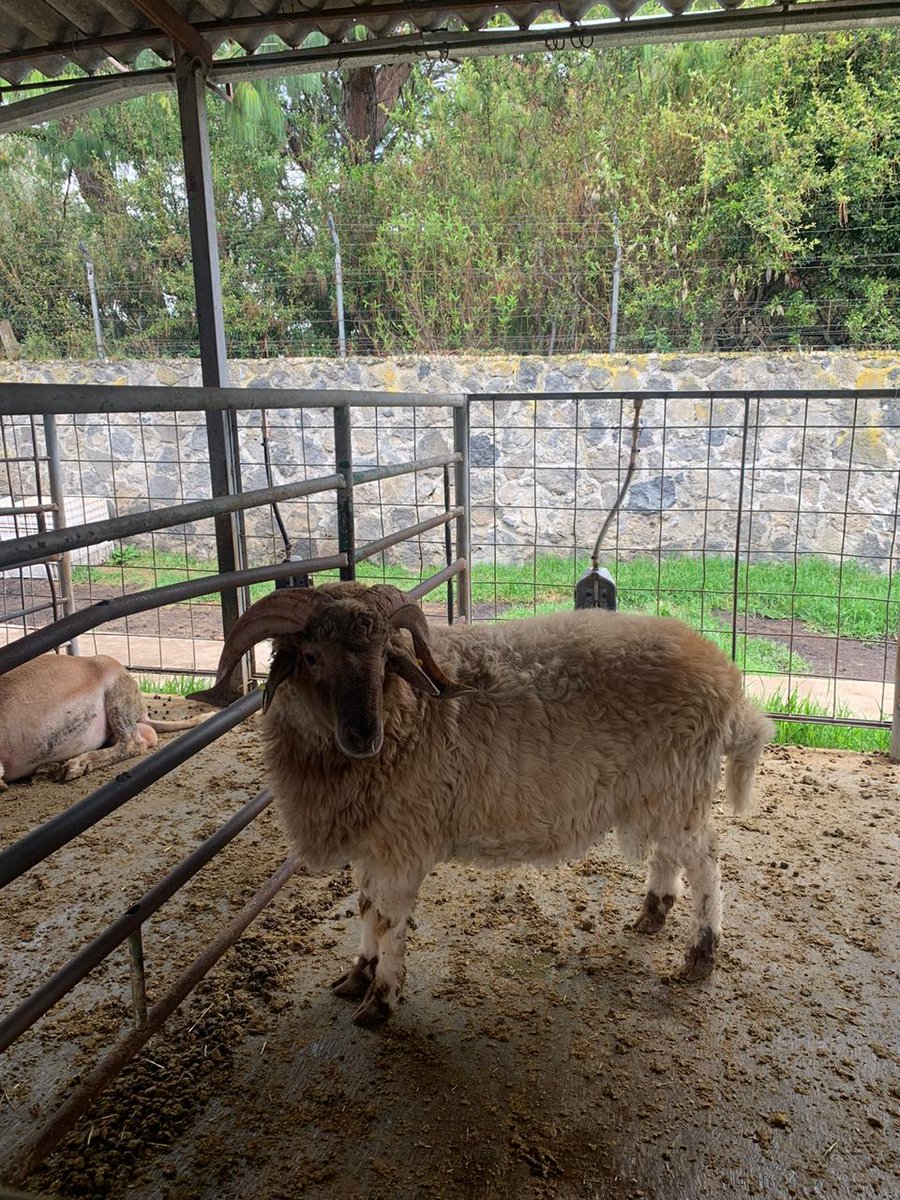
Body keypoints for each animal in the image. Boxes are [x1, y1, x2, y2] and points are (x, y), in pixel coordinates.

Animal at [194, 582, 773, 1028]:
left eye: (385, 659)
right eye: (311, 657)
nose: (364, 736)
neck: (409, 713)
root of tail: (727, 676)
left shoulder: (403, 843)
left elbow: (388, 919)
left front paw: (380, 1001)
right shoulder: (373, 841)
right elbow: (365, 910)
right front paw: (358, 974)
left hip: (678, 782)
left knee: (706, 862)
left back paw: (699, 955)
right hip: (659, 789)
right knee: (669, 853)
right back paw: (653, 912)